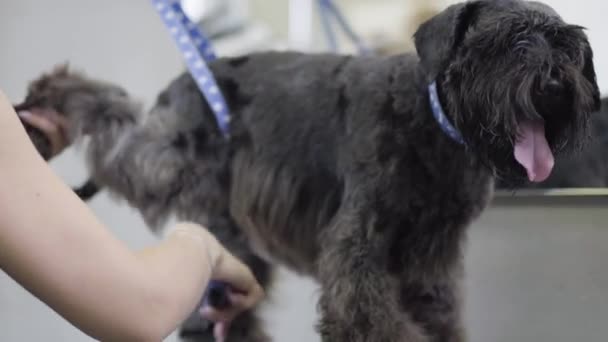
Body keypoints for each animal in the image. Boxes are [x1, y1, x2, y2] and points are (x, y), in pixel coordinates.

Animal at [16, 0, 600, 342]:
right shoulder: (356, 246)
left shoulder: (431, 257)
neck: (430, 121)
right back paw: (54, 99)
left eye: (570, 46)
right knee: (117, 132)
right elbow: (370, 318)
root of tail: (187, 82)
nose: (556, 86)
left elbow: (438, 313)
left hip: (234, 246)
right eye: (510, 41)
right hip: (179, 178)